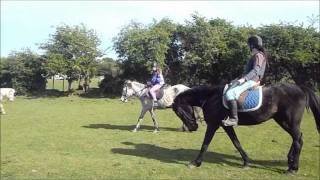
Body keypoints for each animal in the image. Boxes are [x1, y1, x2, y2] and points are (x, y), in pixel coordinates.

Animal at [172, 83, 320, 174]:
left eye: (179, 112)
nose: (193, 127)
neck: (211, 97)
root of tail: (300, 88)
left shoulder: (213, 124)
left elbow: (205, 144)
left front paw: (195, 162)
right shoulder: (225, 126)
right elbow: (236, 142)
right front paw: (246, 162)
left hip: (289, 122)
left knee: (298, 140)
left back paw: (293, 168)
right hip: (283, 121)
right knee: (297, 139)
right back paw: (290, 162)